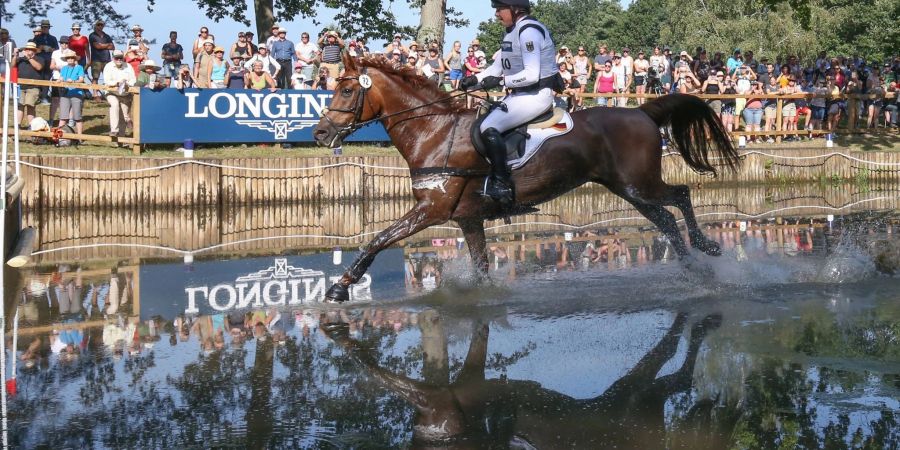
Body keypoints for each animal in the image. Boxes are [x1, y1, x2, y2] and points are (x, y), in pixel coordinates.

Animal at [314, 52, 740, 302]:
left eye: (347, 90)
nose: (320, 134)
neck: (434, 132)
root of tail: (641, 112)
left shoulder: (431, 210)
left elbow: (379, 238)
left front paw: (340, 287)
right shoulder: (468, 218)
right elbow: (481, 264)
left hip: (639, 184)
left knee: (680, 195)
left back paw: (707, 248)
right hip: (628, 189)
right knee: (665, 218)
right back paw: (694, 270)